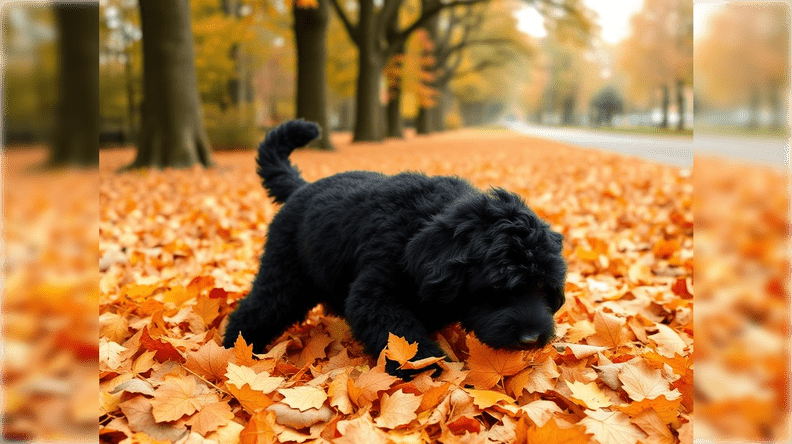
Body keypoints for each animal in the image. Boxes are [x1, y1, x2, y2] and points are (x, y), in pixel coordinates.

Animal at [226, 119, 568, 376]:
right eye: (498, 286)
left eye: (544, 287)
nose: (532, 338)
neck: (422, 233)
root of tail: (301, 188)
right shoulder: (376, 296)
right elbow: (406, 341)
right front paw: (432, 371)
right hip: (284, 279)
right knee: (253, 311)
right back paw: (235, 349)